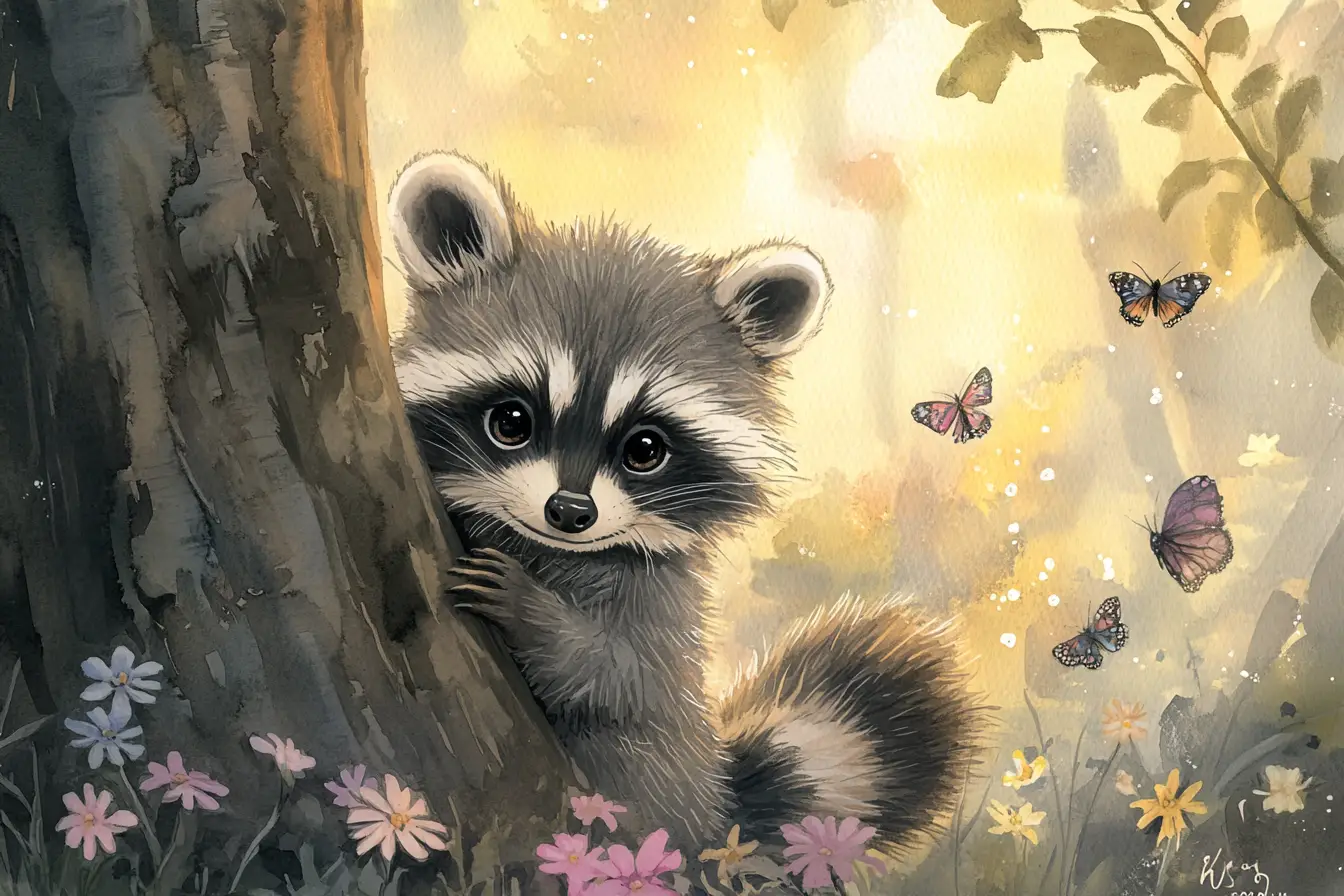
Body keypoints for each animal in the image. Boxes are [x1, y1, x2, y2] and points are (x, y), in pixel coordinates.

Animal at [386, 152, 983, 854]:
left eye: (645, 449)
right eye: (511, 422)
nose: (569, 513)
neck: (548, 548)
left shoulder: (663, 597)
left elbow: (622, 673)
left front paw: (532, 611)